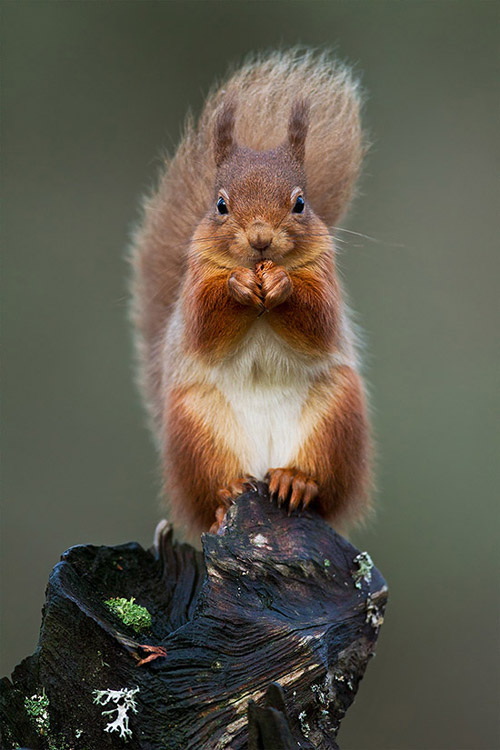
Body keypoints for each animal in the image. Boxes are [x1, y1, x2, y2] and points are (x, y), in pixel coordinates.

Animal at [131, 51, 374, 536]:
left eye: (300, 203)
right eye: (220, 205)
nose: (260, 239)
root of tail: (263, 466)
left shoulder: (325, 276)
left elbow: (319, 320)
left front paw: (282, 285)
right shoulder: (194, 285)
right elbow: (204, 325)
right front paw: (238, 286)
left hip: (337, 416)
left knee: (324, 489)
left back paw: (297, 481)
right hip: (194, 428)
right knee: (213, 493)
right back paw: (227, 494)